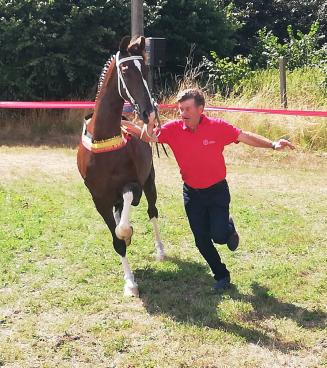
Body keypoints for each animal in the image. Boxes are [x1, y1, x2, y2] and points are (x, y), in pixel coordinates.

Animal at [77, 36, 167, 298]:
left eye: (145, 69)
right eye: (125, 71)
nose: (150, 113)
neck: (104, 139)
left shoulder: (133, 185)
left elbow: (124, 220)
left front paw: (128, 233)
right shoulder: (99, 199)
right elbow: (116, 239)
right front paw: (129, 282)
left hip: (150, 182)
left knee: (152, 212)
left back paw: (160, 250)